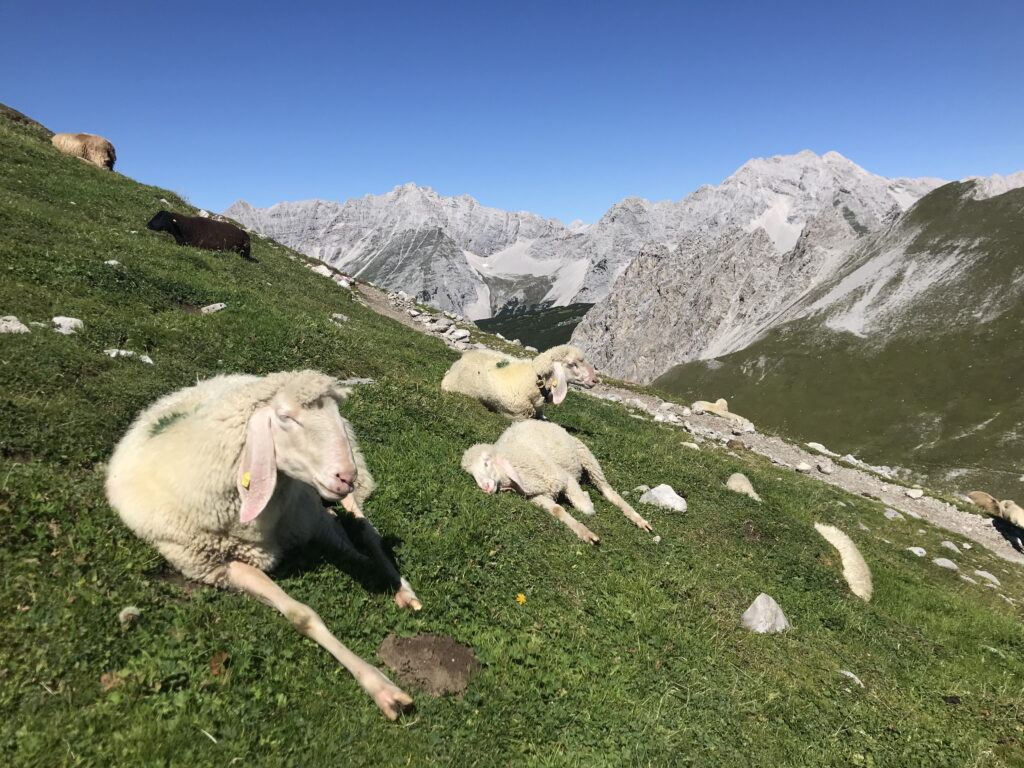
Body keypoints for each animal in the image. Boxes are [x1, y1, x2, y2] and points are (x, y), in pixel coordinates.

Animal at [104, 372, 419, 720]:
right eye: (285, 417)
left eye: (336, 412)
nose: (345, 476)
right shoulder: (216, 565)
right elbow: (302, 614)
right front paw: (379, 686)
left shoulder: (310, 517)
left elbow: (359, 541)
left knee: (363, 525)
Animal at [462, 417, 651, 544]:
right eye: (471, 474)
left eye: (486, 462)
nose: (485, 487)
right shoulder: (536, 497)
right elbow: (557, 510)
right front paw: (584, 532)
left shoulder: (565, 478)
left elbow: (585, 508)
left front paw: (587, 499)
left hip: (586, 456)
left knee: (608, 490)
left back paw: (639, 520)